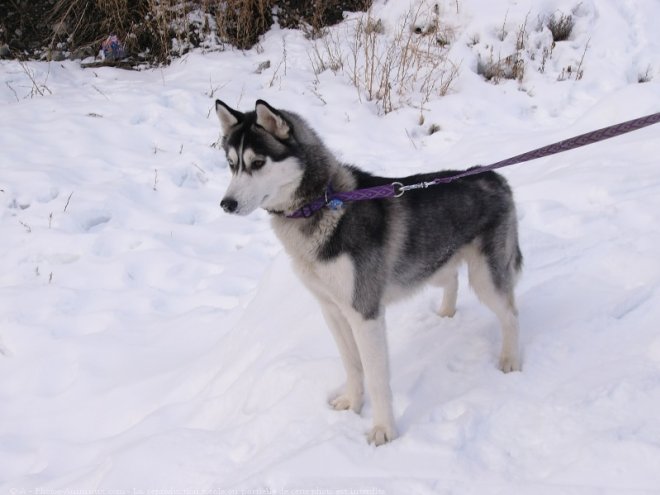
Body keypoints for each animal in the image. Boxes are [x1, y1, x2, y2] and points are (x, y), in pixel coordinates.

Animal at [214, 99, 524, 448]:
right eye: (231, 164)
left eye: (257, 162)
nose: (226, 204)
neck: (320, 204)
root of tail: (495, 175)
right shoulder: (332, 310)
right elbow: (352, 365)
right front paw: (352, 402)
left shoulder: (364, 313)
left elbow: (376, 377)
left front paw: (384, 430)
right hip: (434, 264)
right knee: (452, 279)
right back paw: (446, 313)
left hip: (486, 279)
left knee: (510, 313)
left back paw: (511, 359)